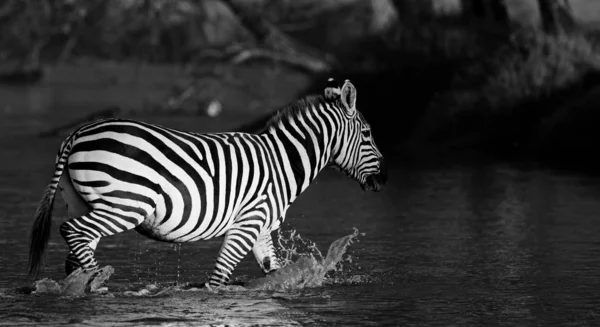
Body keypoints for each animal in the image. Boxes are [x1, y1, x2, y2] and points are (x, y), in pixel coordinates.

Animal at [28, 78, 386, 288]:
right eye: (368, 134)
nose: (384, 179)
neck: (283, 160)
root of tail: (77, 133)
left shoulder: (262, 227)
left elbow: (273, 271)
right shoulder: (248, 221)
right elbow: (218, 278)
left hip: (85, 201)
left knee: (75, 251)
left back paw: (81, 286)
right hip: (125, 204)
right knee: (73, 231)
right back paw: (98, 283)